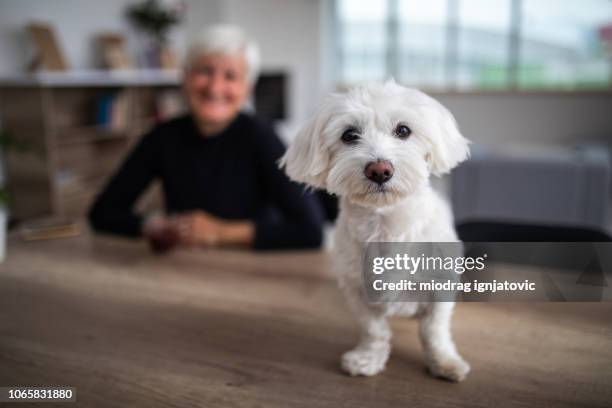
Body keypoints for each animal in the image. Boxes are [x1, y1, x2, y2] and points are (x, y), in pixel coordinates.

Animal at [280, 80, 470, 382]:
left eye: (403, 130)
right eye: (349, 135)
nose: (379, 170)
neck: (385, 225)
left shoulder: (439, 287)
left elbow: (434, 330)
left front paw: (444, 361)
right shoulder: (357, 290)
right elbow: (374, 330)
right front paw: (368, 358)